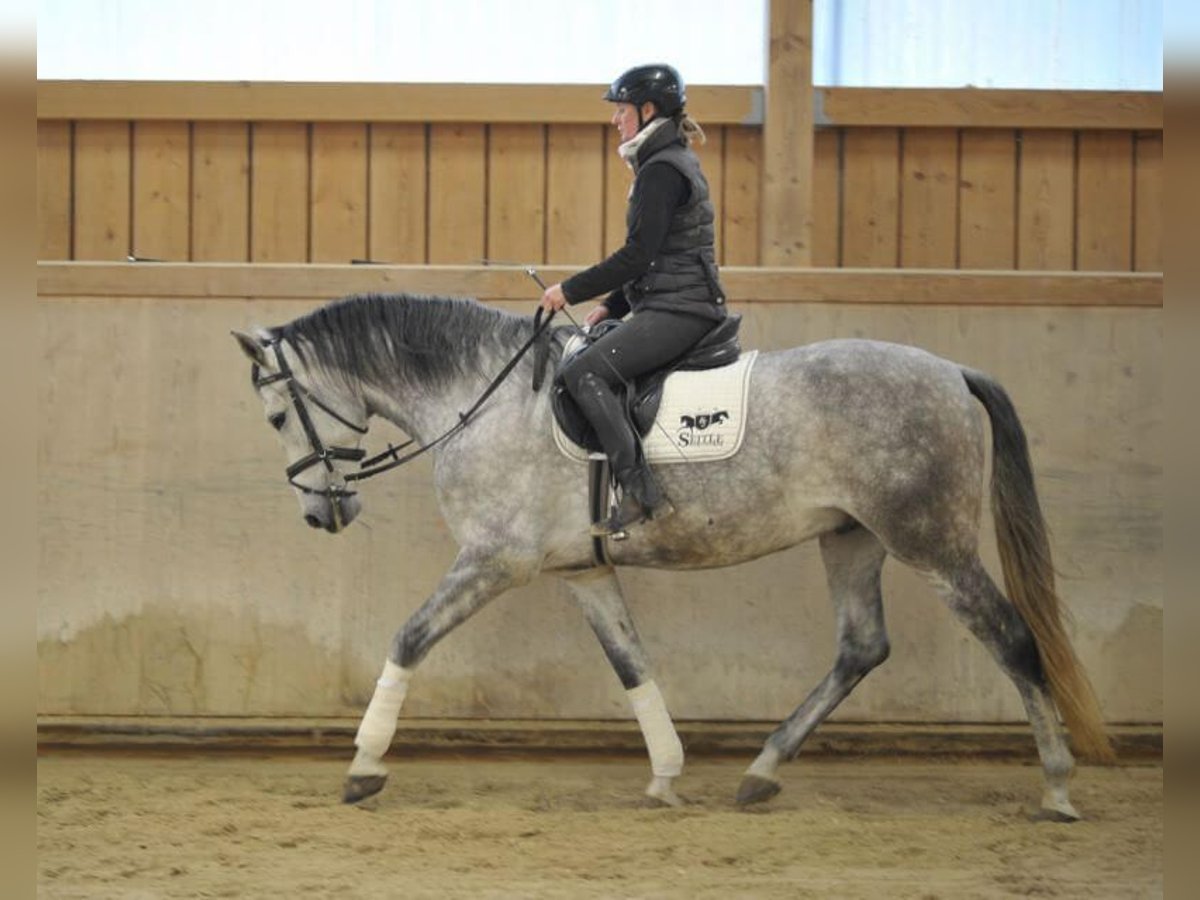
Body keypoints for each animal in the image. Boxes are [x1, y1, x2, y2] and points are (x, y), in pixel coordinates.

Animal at [234, 292, 1113, 820]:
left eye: (277, 415)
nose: (322, 511)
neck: (480, 397)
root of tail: (952, 373)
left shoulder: (494, 560)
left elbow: (409, 638)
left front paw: (364, 764)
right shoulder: (583, 571)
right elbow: (632, 664)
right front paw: (665, 772)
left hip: (929, 539)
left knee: (1013, 640)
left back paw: (1057, 785)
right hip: (850, 538)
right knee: (863, 647)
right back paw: (762, 770)